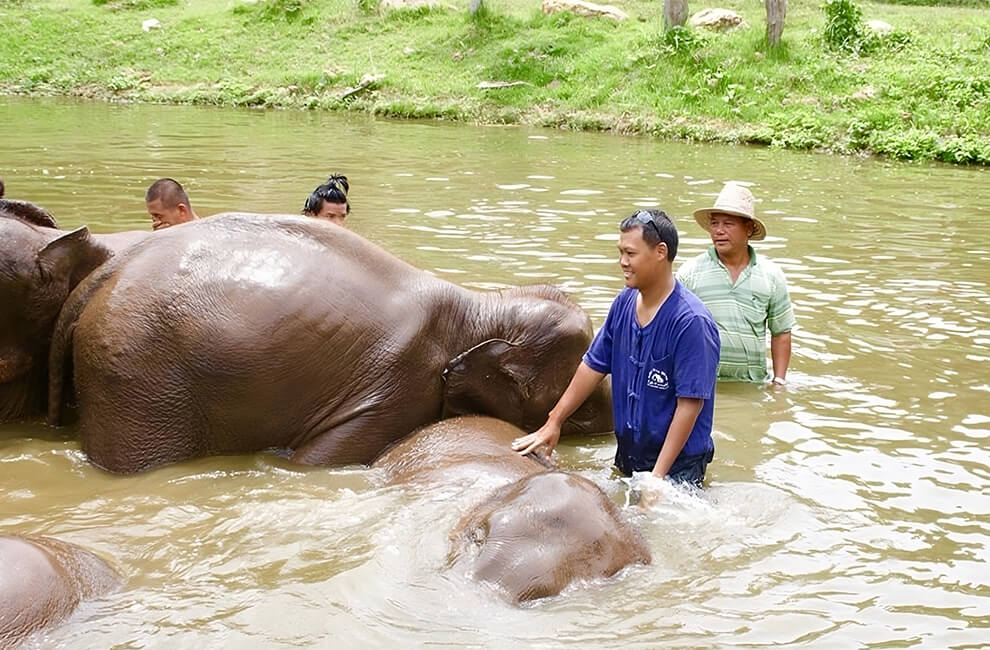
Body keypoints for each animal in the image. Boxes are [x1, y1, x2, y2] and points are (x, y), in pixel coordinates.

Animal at [50, 213, 616, 470]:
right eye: (576, 406)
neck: (477, 304)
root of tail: (98, 279)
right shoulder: (397, 387)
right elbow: (311, 465)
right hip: (136, 379)